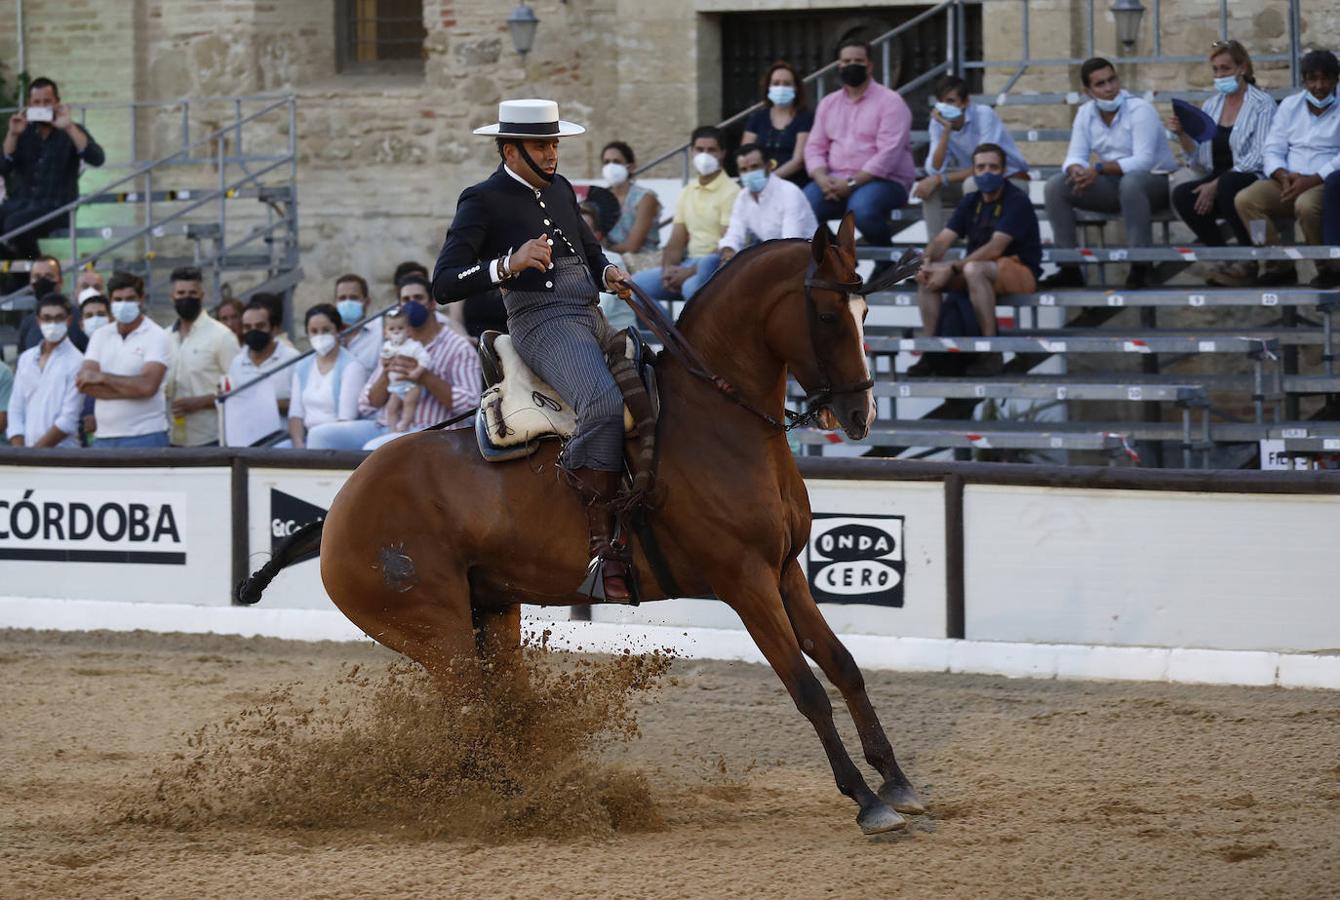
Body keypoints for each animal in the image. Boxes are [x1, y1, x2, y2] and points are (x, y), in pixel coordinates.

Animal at [238, 218, 921, 835]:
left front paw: (898, 783)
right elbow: (806, 687)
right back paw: (515, 807)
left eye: (866, 310)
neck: (714, 421)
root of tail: (339, 510)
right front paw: (866, 800)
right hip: (439, 636)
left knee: (498, 712)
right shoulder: (745, 582)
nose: (860, 414)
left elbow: (841, 664)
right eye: (828, 316)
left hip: (491, 613)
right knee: (473, 717)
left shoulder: (784, 572)